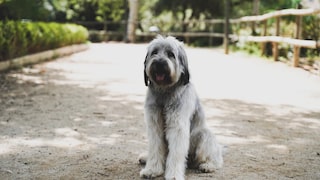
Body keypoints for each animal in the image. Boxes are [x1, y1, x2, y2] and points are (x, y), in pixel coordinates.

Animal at [140, 35, 222, 180]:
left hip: (204, 135)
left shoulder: (177, 125)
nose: (159, 63)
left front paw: (173, 175)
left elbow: (176, 153)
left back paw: (208, 165)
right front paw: (152, 169)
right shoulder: (154, 124)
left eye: (170, 54)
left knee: (214, 157)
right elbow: (155, 147)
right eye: (154, 52)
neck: (164, 93)